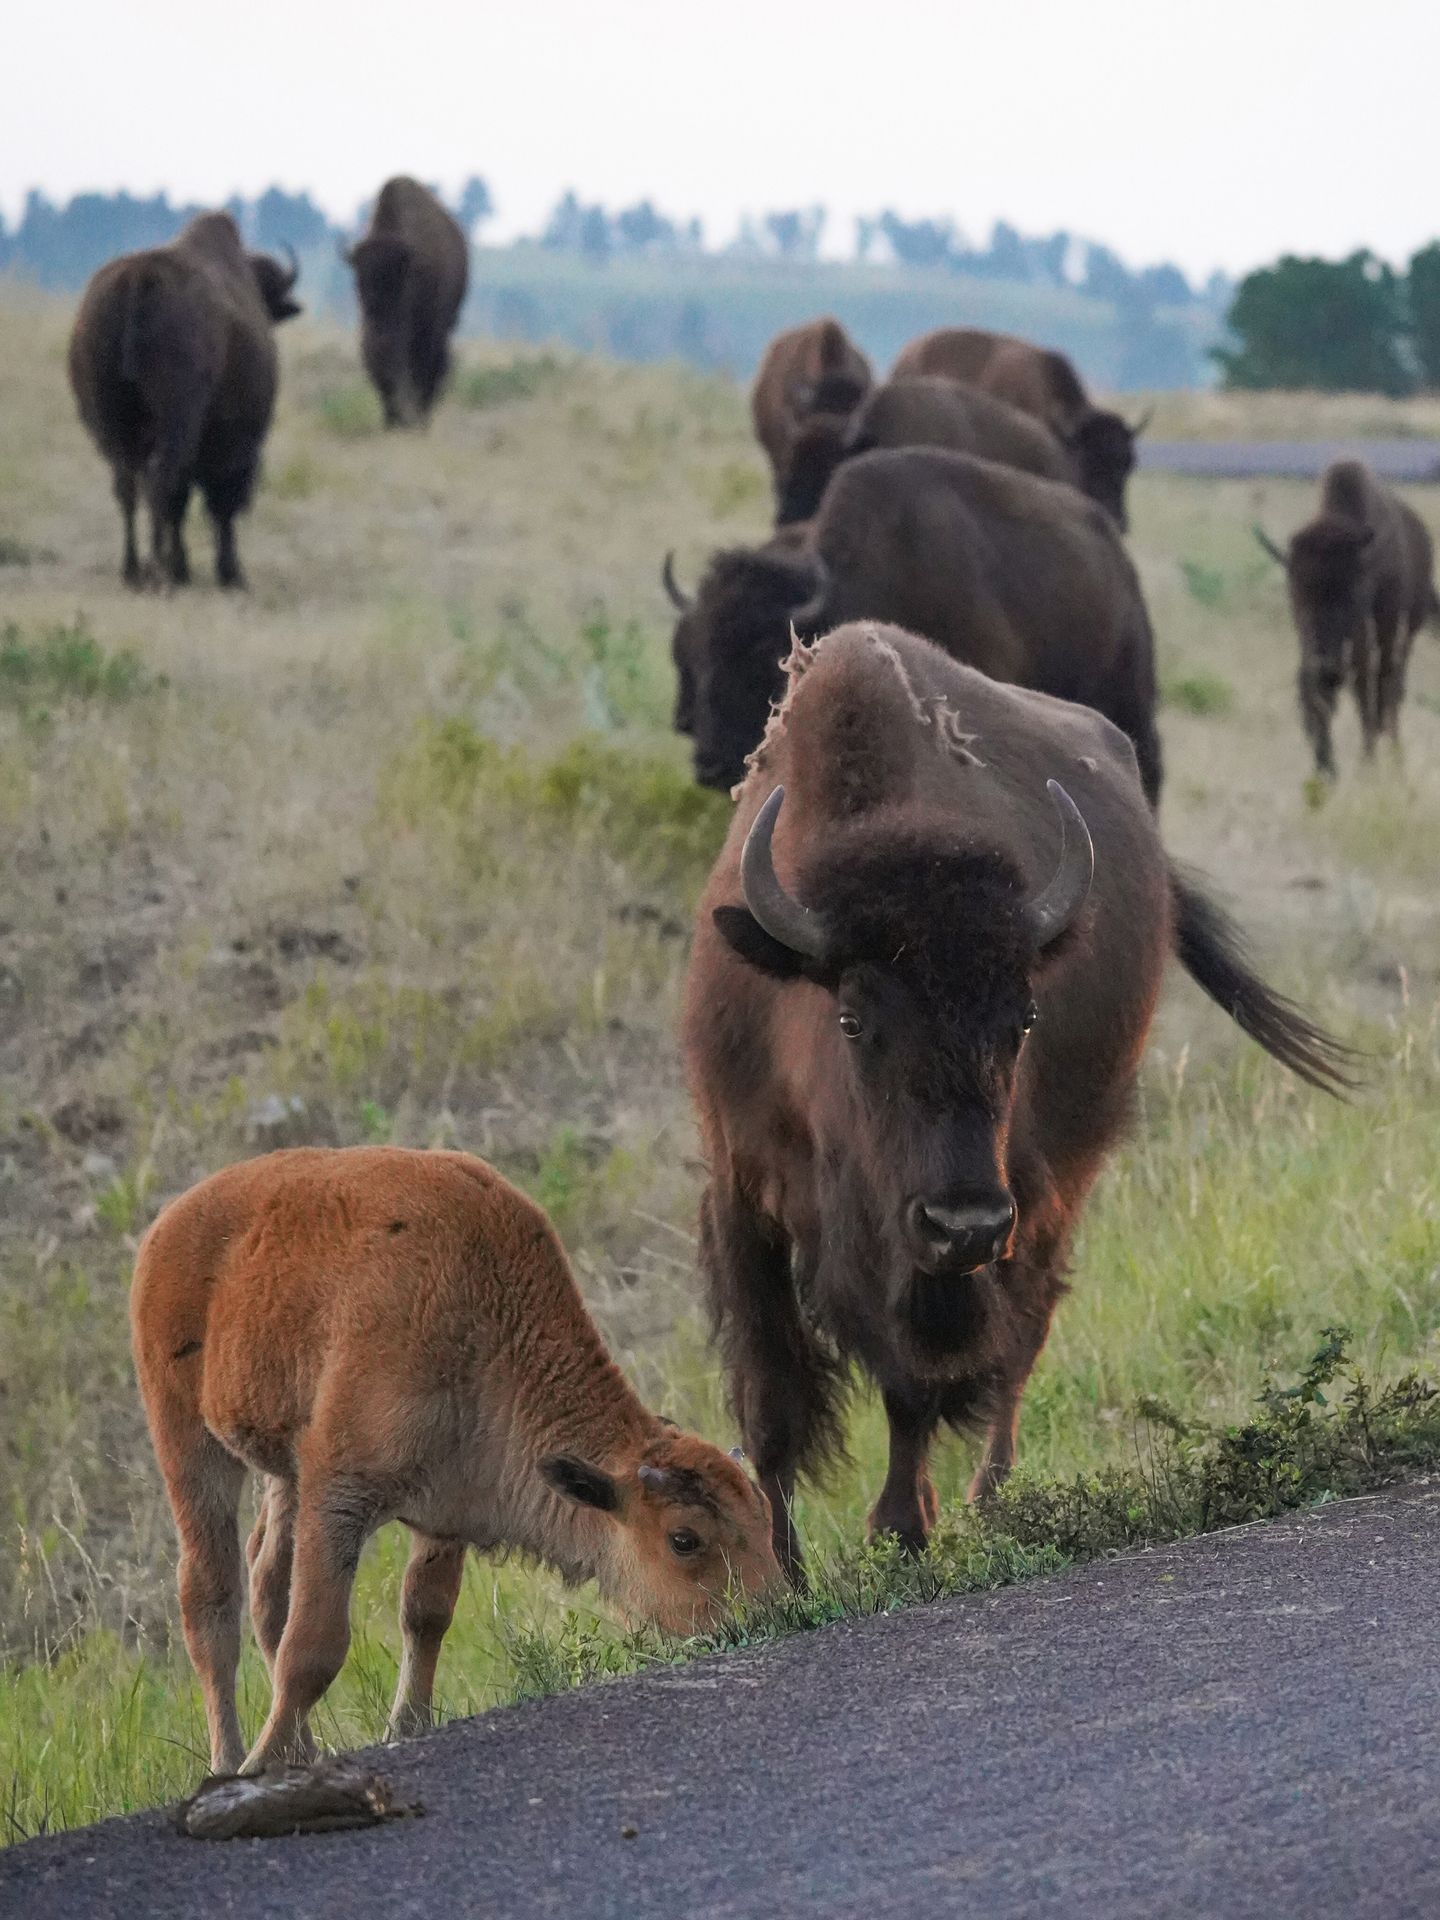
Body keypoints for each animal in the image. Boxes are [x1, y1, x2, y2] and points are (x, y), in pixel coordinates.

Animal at [68, 212, 301, 588]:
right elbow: (219, 504)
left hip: (113, 424)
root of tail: (139, 277)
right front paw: (230, 574)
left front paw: (187, 569)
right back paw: (158, 573)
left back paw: (134, 571)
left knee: (129, 486)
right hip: (175, 423)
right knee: (162, 484)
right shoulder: (234, 445)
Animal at [684, 621, 1354, 1577]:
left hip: (1056, 1181)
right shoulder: (741, 1191)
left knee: (1026, 1329)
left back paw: (989, 1500)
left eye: (1023, 1018)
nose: (963, 1221)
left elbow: (916, 1383)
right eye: (852, 1017)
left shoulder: (954, 1241)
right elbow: (771, 1401)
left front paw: (901, 1531)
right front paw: (779, 1570)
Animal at [1254, 459, 1438, 778]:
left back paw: (1393, 753)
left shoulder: (1374, 636)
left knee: (1390, 690)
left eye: (1354, 595)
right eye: (1296, 597)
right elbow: (1325, 699)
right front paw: (1325, 767)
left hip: (1404, 634)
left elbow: (1368, 692)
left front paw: (1367, 763)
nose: (1327, 669)